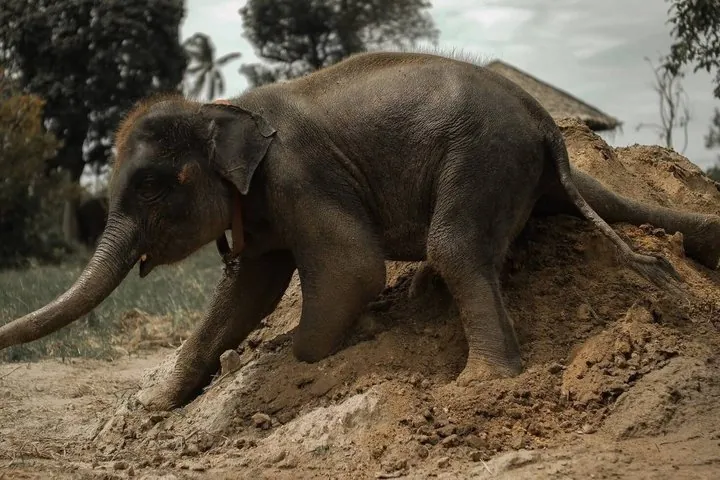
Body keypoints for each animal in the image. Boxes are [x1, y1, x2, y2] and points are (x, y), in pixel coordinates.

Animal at [0, 51, 717, 412]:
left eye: (150, 186)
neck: (221, 109)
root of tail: (545, 123)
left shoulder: (299, 178)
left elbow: (352, 268)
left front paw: (324, 353)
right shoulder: (264, 205)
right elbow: (247, 293)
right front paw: (157, 404)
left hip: (482, 155)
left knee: (454, 248)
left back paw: (480, 383)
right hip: (524, 169)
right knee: (598, 200)